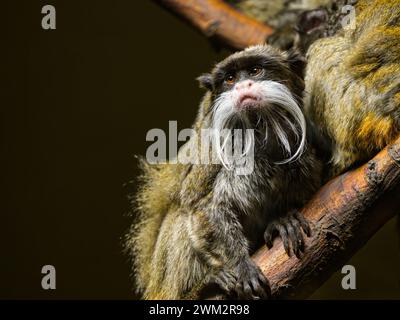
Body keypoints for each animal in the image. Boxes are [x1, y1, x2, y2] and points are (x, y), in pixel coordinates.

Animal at [126, 45, 324, 300]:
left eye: (255, 71)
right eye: (230, 79)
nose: (242, 86)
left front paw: (283, 220)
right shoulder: (214, 152)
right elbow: (202, 207)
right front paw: (241, 265)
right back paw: (204, 286)